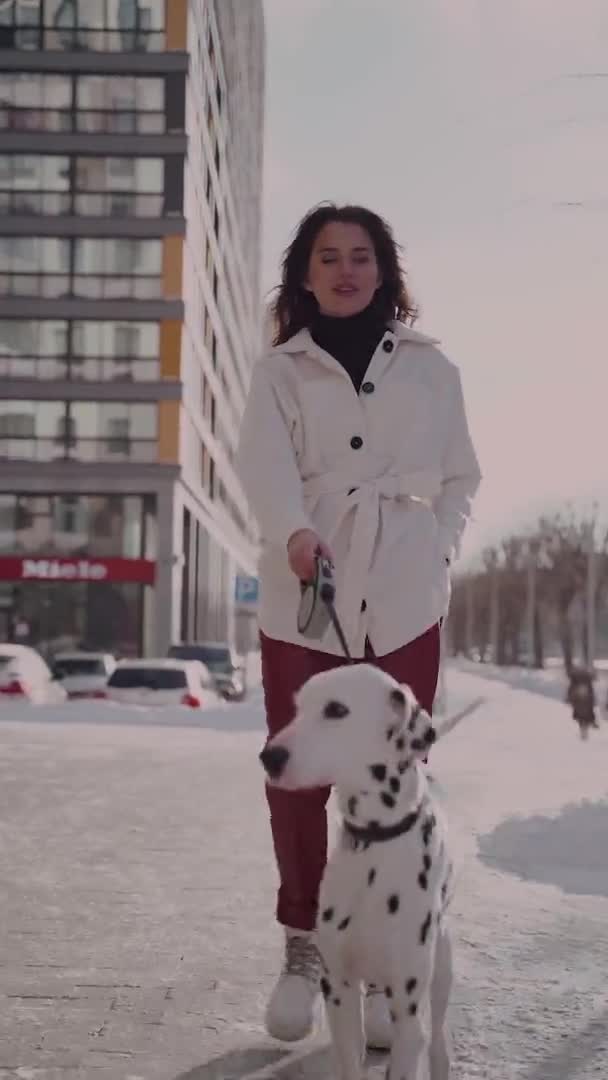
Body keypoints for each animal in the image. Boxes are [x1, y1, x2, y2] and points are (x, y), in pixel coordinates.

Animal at [259, 660, 453, 1080]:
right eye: (297, 708)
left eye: (336, 710)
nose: (270, 757)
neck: (374, 848)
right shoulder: (340, 992)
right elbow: (350, 1058)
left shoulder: (408, 1013)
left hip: (441, 968)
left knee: (438, 1036)